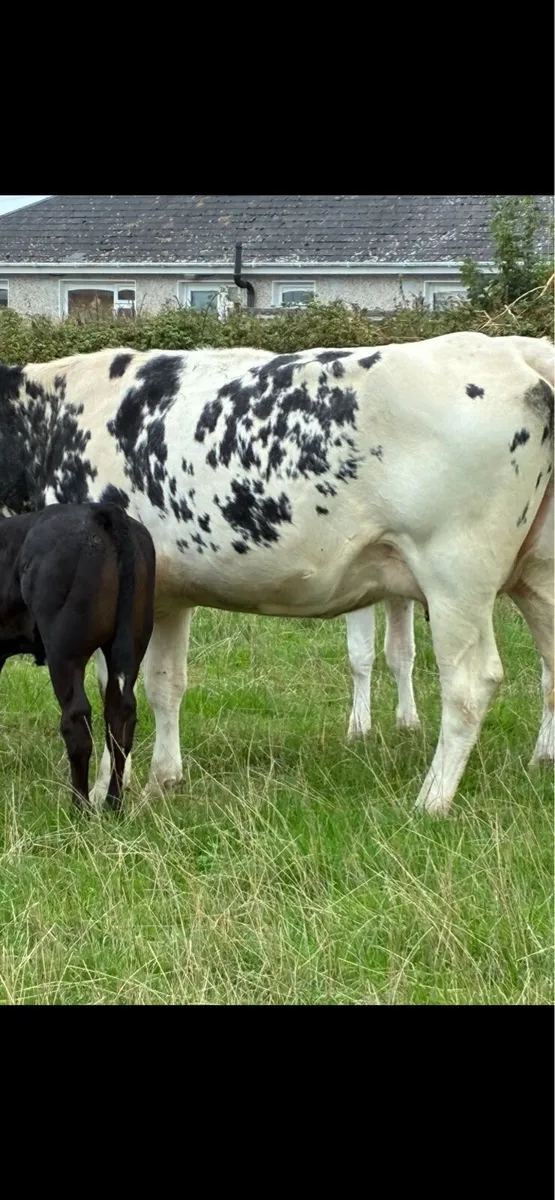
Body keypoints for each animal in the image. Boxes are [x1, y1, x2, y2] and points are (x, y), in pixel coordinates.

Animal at [0, 502, 155, 812]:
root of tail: (98, 512)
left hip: (65, 652)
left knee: (76, 720)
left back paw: (79, 806)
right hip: (130, 645)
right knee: (120, 718)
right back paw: (112, 804)